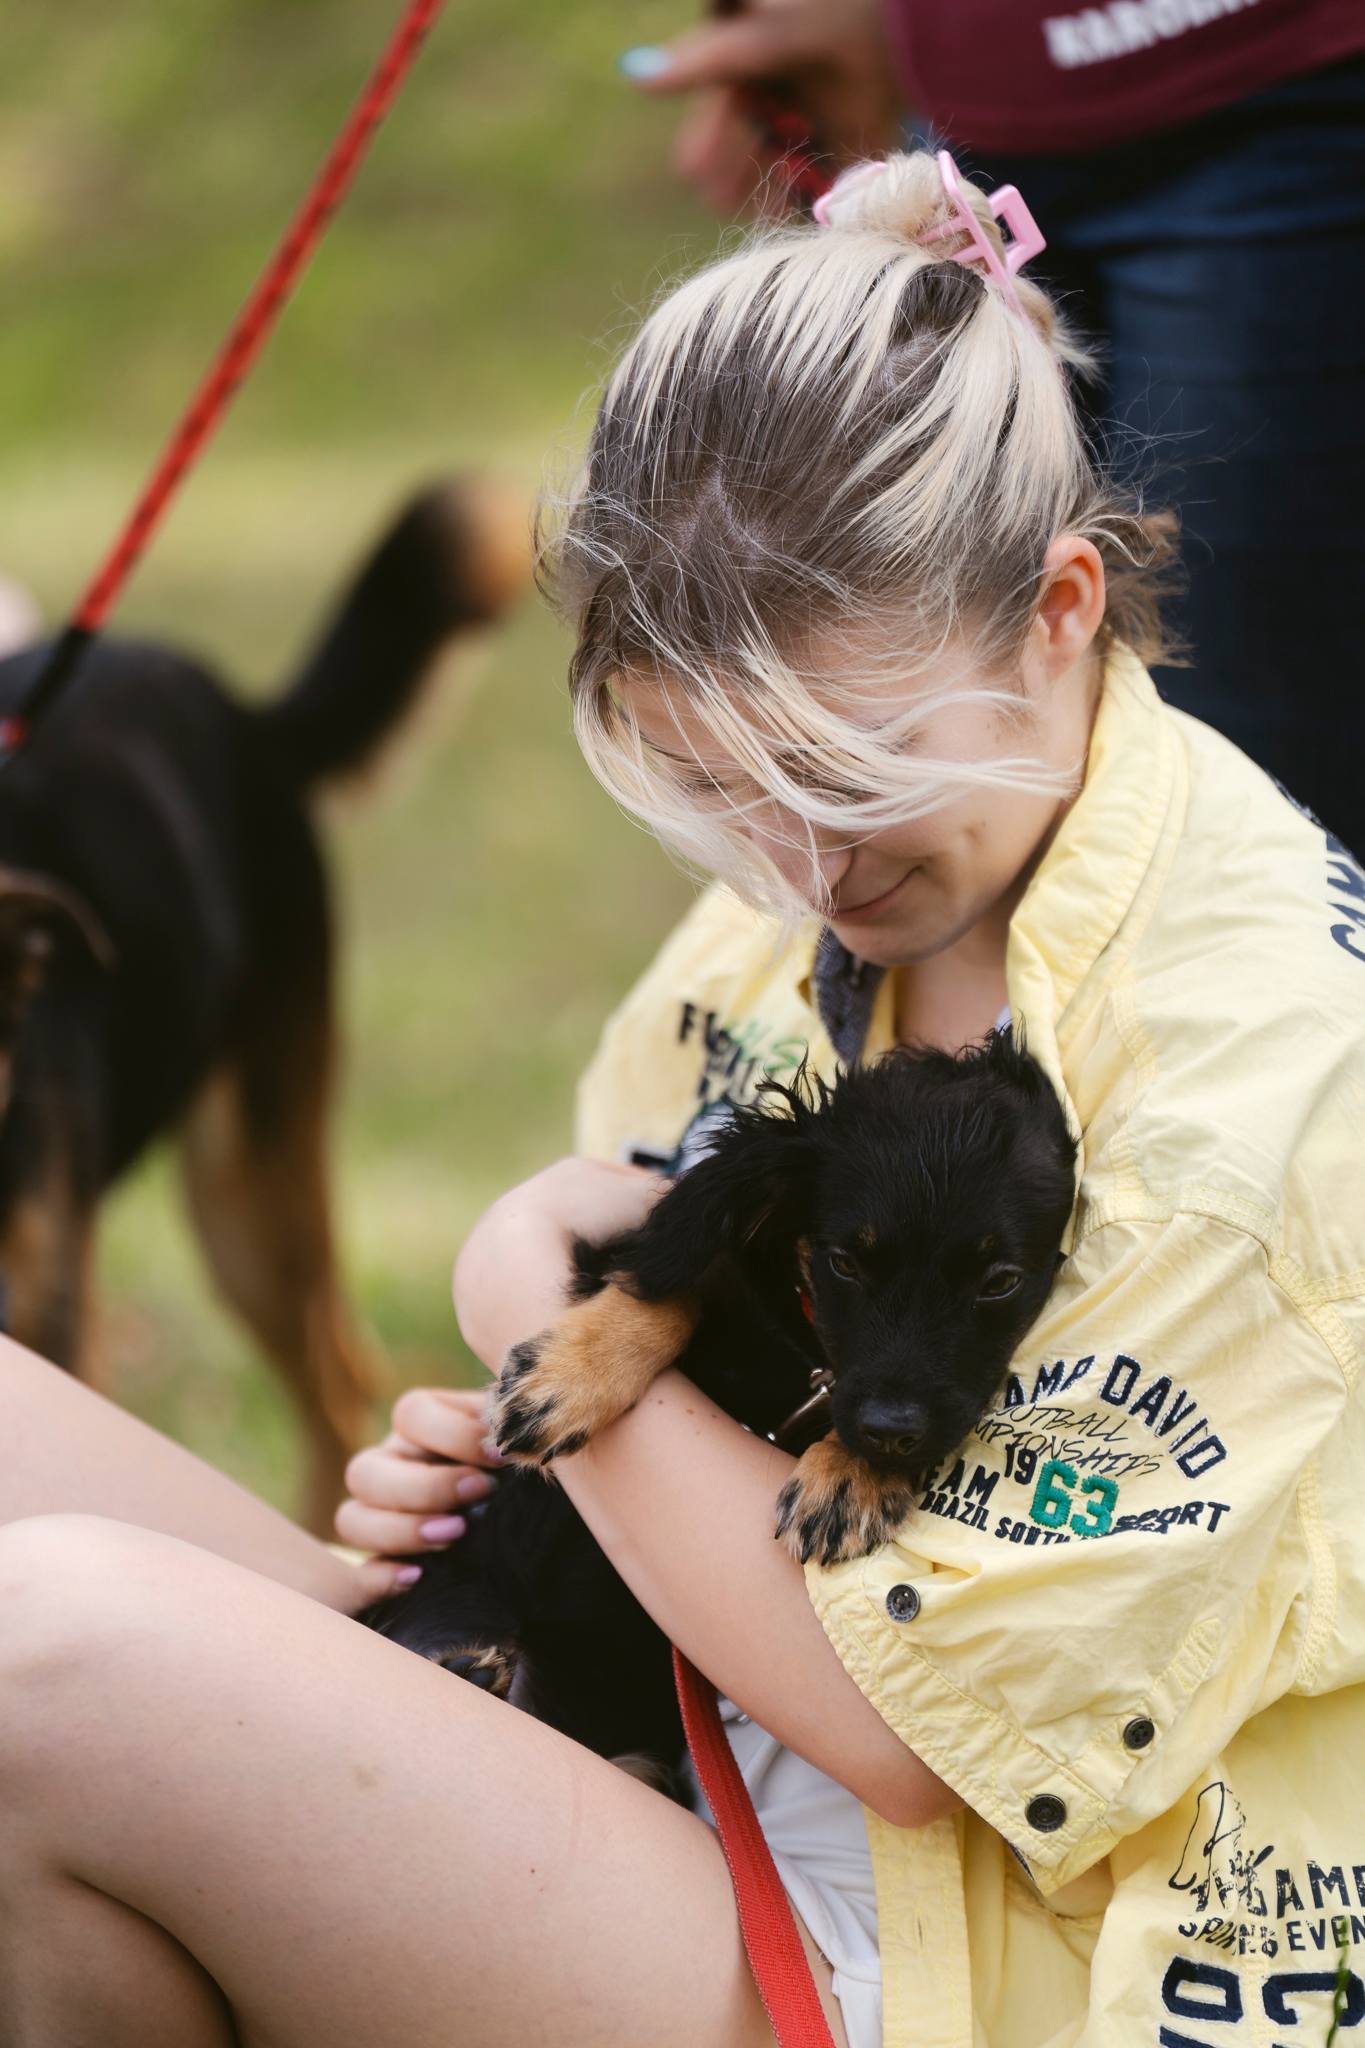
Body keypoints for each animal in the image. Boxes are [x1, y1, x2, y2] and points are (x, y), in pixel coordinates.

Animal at [360, 1032, 1080, 1785]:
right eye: (845, 1264)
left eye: (1000, 1282)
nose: (887, 1432)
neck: (806, 1360)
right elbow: (677, 1286)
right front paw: (562, 1380)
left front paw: (851, 1478)